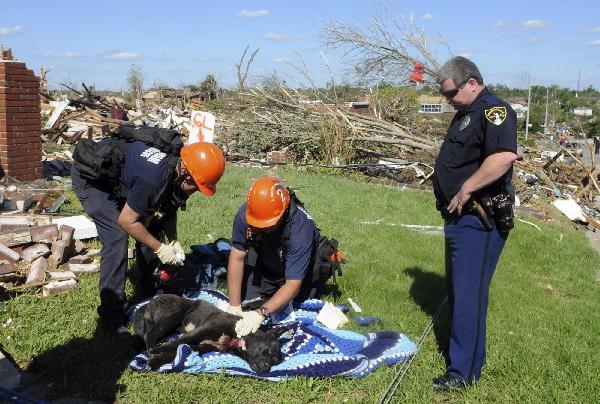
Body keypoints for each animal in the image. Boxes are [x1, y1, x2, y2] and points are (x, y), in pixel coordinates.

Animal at [132, 294, 288, 372]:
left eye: (275, 362)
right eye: (267, 351)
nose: (267, 368)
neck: (237, 338)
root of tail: (148, 303)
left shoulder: (202, 347)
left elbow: (175, 352)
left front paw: (157, 360)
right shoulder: (201, 331)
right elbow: (177, 343)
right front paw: (156, 353)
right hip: (172, 314)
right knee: (150, 334)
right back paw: (151, 347)